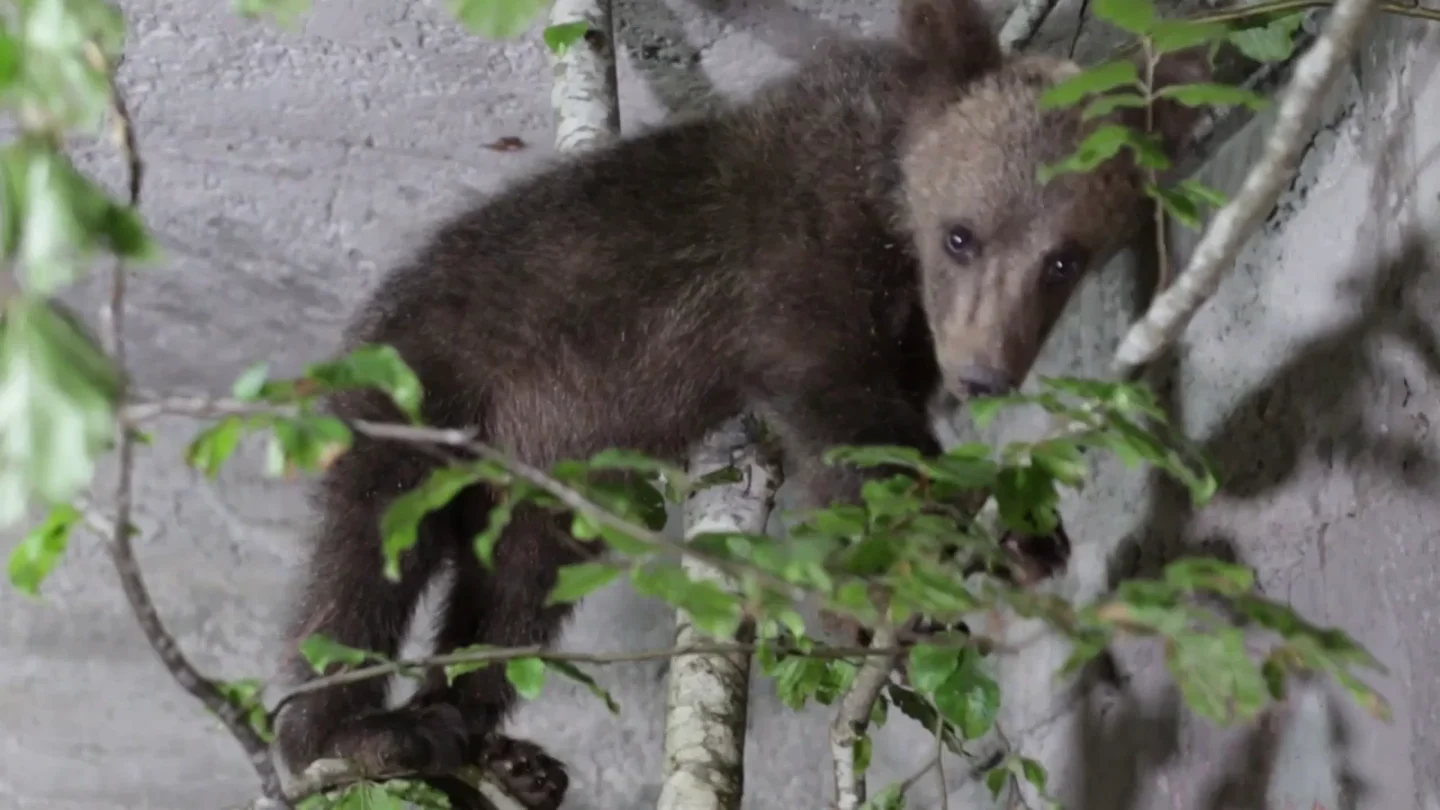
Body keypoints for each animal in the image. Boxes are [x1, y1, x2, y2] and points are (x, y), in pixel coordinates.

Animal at [270, 0, 1211, 806]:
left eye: (1064, 260)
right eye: (962, 235)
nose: (985, 375)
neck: (883, 200)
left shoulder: (904, 332)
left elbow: (847, 450)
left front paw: (991, 549)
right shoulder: (794, 264)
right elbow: (843, 414)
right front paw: (961, 546)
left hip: (540, 481)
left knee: (515, 591)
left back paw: (487, 744)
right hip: (425, 378)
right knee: (362, 554)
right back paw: (355, 736)